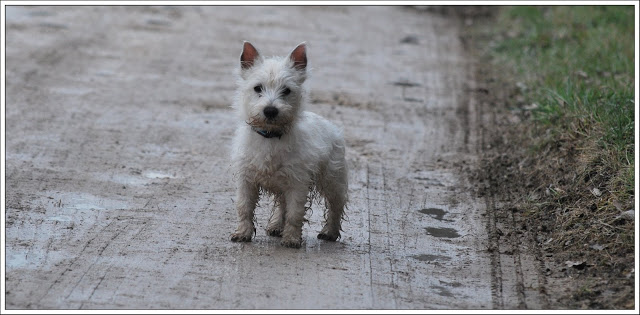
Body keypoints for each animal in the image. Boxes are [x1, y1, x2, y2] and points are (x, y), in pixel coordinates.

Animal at [230, 42, 348, 249]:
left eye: (286, 90)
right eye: (257, 88)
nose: (270, 110)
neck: (270, 137)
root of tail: (332, 126)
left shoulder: (297, 183)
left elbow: (295, 213)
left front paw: (292, 239)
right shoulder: (246, 179)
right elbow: (244, 208)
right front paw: (242, 233)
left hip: (333, 179)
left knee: (335, 206)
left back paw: (329, 232)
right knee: (281, 205)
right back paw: (276, 226)